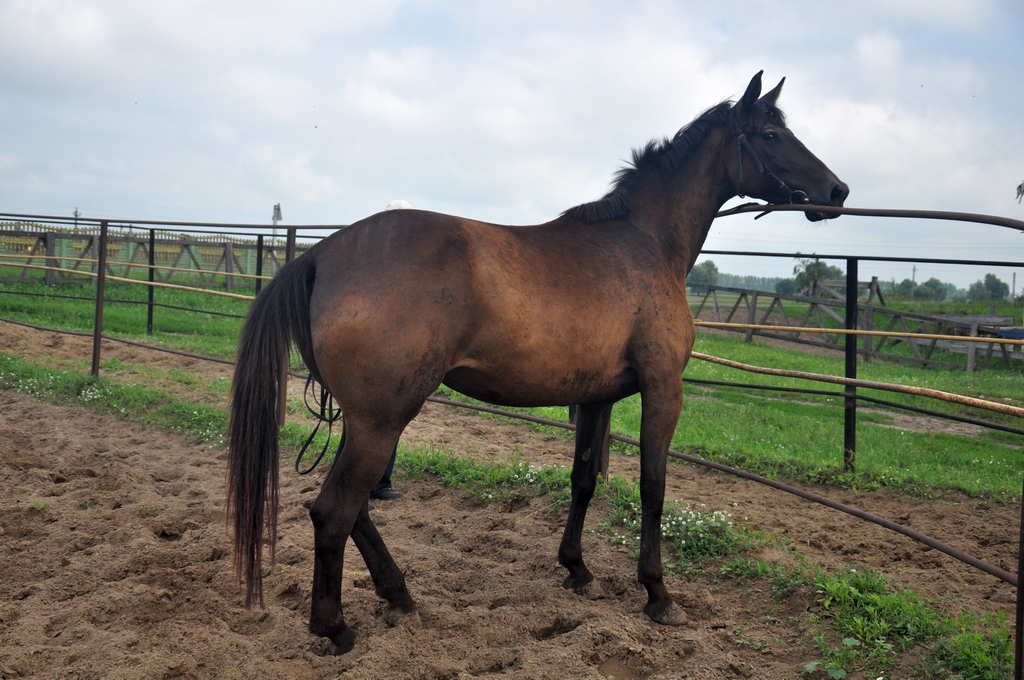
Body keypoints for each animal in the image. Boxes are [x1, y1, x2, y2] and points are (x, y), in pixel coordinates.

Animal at [228, 71, 849, 653]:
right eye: (771, 134)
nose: (837, 190)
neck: (641, 243)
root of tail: (321, 256)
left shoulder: (597, 398)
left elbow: (584, 480)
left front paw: (577, 568)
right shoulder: (662, 389)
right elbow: (653, 488)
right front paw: (658, 594)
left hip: (365, 422)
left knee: (355, 512)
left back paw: (400, 598)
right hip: (381, 421)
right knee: (335, 512)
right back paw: (335, 627)